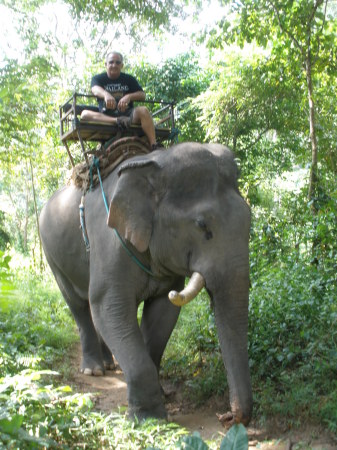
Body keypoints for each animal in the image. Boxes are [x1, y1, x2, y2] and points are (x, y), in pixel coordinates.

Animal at [38, 142, 251, 428]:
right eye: (202, 224)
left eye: (249, 218)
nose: (227, 417)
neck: (152, 163)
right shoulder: (109, 241)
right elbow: (108, 307)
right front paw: (148, 418)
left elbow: (162, 314)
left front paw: (159, 396)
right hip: (52, 257)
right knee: (79, 306)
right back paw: (93, 370)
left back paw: (109, 365)